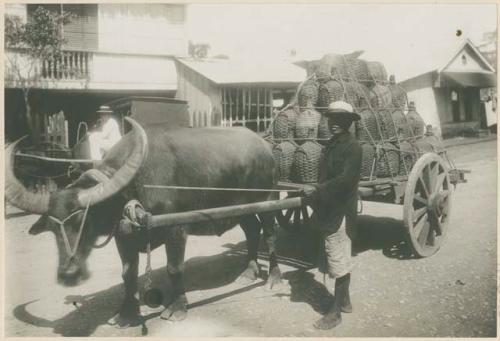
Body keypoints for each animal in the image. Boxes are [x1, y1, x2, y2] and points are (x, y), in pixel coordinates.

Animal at [5, 117, 282, 326]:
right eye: (53, 227)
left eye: (85, 219)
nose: (68, 274)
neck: (133, 187)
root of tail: (264, 145)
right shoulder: (124, 236)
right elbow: (128, 274)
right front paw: (127, 313)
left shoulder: (176, 229)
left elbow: (174, 268)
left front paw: (177, 307)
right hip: (243, 209)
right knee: (252, 230)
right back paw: (249, 271)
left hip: (269, 199)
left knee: (269, 234)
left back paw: (274, 278)